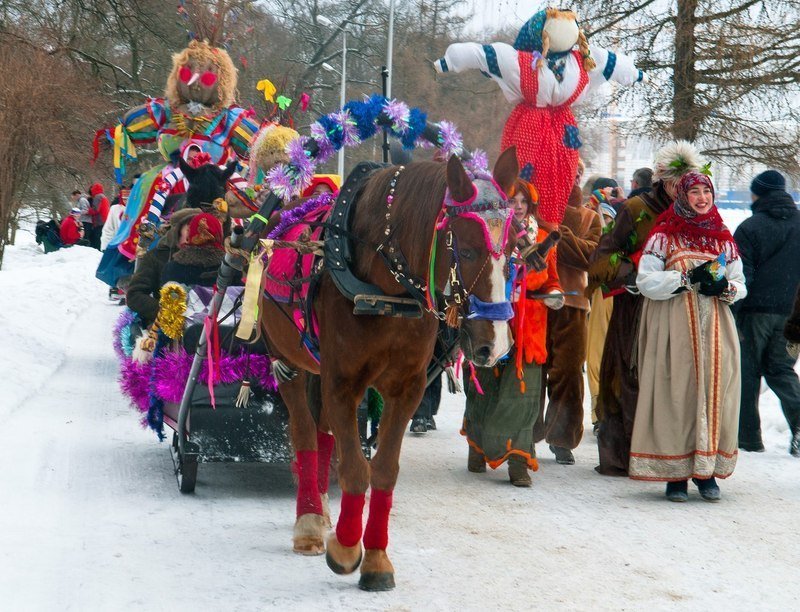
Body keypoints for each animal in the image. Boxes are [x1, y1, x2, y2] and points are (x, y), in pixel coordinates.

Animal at [258, 147, 520, 588]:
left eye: (516, 248)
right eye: (467, 251)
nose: (495, 344)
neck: (388, 293)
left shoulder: (406, 388)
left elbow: (382, 470)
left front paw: (376, 558)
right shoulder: (342, 382)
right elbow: (354, 468)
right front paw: (347, 548)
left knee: (324, 433)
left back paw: (324, 511)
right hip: (289, 363)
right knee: (305, 434)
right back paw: (309, 520)